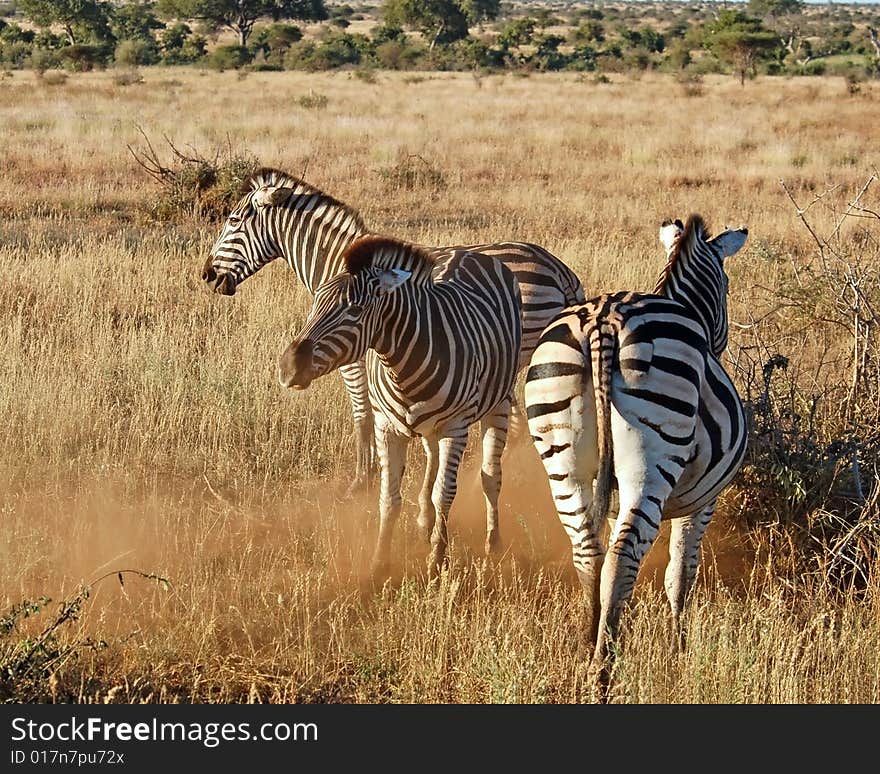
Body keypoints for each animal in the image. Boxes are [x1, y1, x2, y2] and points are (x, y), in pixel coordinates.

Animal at [276, 233, 524, 580]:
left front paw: (437, 561)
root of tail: (474, 253)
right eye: (315, 303)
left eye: (355, 309)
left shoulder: (455, 428)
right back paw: (424, 522)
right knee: (433, 459)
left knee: (490, 476)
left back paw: (493, 542)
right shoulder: (386, 427)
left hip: (497, 403)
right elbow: (389, 498)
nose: (287, 368)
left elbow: (445, 493)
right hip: (430, 427)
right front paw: (379, 563)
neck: (403, 365)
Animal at [524, 215, 748, 696]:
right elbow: (681, 573)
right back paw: (603, 673)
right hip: (651, 462)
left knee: (589, 553)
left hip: (560, 454)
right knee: (623, 556)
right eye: (725, 286)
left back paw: (589, 646)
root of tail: (603, 319)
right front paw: (680, 651)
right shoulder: (704, 501)